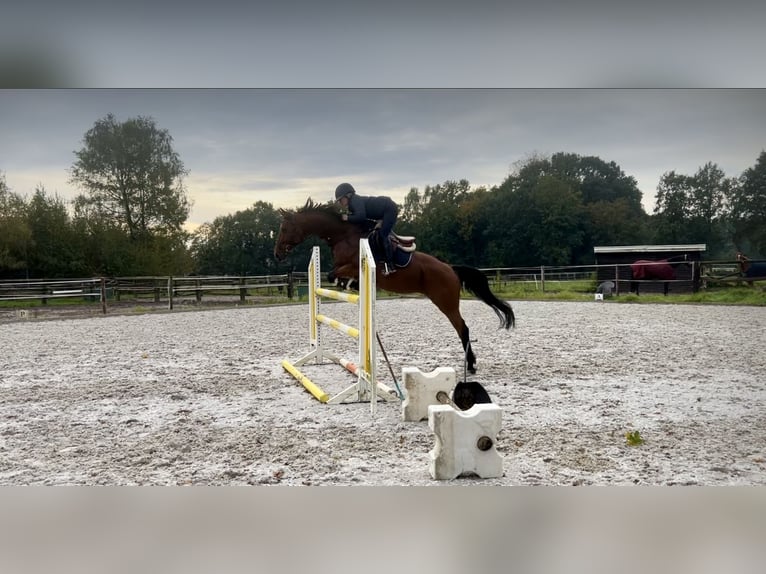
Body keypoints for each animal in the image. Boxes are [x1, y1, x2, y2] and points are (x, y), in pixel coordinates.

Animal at [272, 200, 520, 376]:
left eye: (284, 228)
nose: (277, 254)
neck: (343, 235)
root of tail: (450, 268)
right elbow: (332, 274)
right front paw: (348, 284)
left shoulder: (353, 264)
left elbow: (334, 274)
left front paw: (347, 283)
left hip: (445, 302)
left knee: (463, 328)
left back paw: (471, 365)